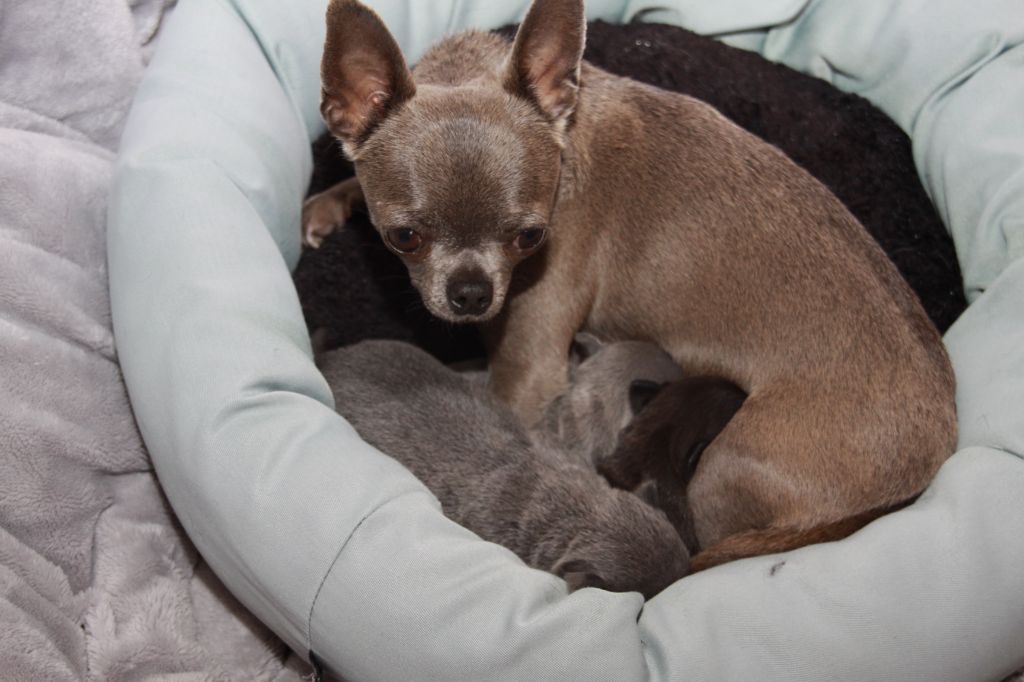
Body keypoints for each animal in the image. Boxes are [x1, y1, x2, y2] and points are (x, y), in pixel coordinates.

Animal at [309, 0, 958, 565]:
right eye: (404, 236)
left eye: (531, 237)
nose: (472, 293)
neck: (567, 135)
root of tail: (932, 459)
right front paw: (330, 202)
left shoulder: (530, 364)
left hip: (726, 466)